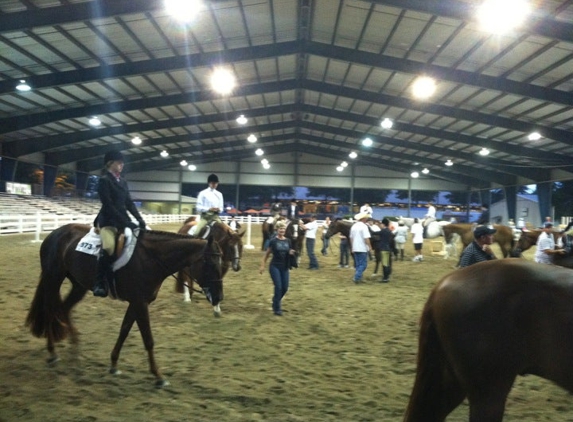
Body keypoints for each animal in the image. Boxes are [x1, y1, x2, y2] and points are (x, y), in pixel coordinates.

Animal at [26, 224, 223, 390]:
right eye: (210, 264)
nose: (218, 297)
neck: (152, 259)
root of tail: (54, 234)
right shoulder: (140, 303)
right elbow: (148, 339)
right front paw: (158, 376)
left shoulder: (137, 302)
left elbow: (124, 330)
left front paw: (114, 365)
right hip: (53, 279)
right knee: (50, 311)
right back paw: (52, 352)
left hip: (78, 285)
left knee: (64, 309)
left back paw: (75, 349)